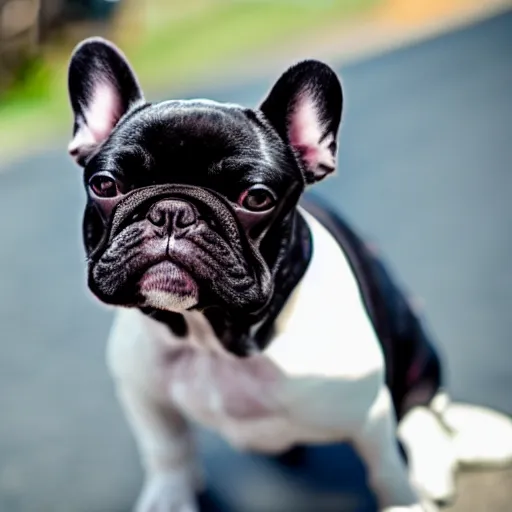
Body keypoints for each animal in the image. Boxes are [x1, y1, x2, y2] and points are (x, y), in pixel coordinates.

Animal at [67, 38, 512, 510]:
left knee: (423, 407)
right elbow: (167, 449)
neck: (214, 339)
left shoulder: (370, 417)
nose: (172, 210)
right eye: (105, 185)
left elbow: (388, 472)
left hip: (413, 336)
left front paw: (403, 500)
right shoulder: (143, 392)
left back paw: (431, 463)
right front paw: (169, 497)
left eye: (257, 197)